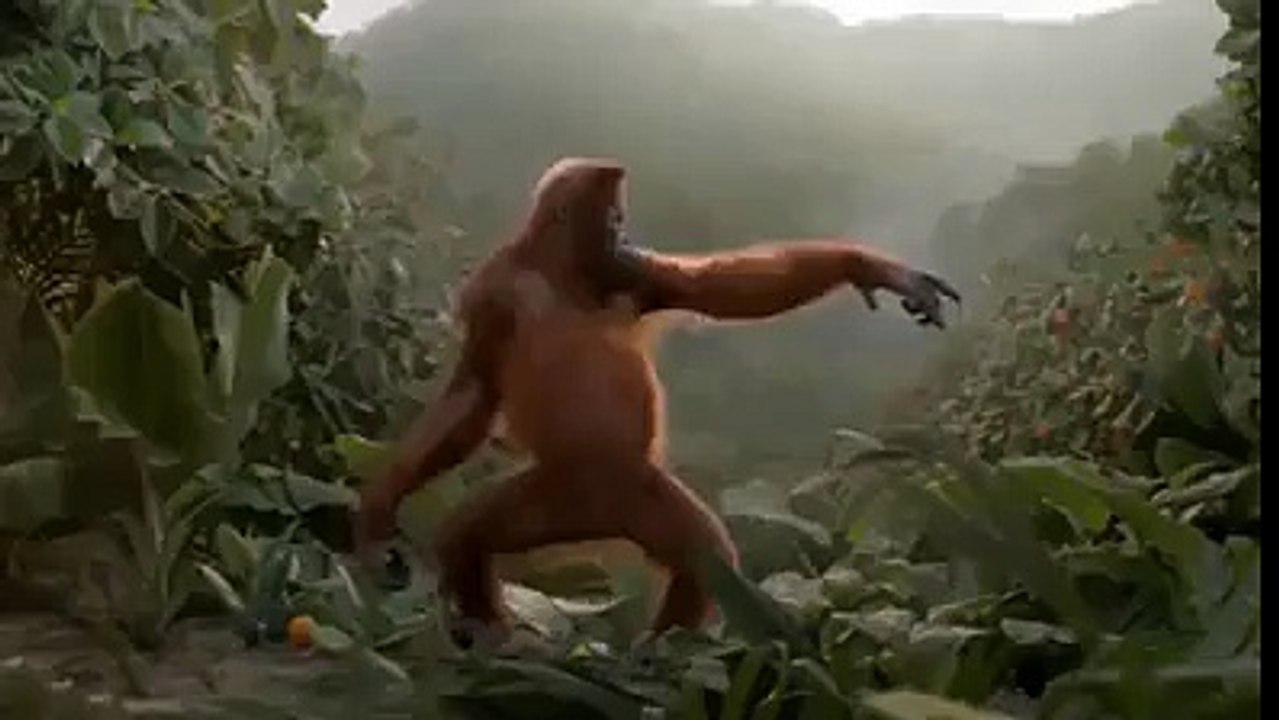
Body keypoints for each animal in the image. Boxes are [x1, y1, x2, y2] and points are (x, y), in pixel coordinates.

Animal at [353, 157, 960, 647]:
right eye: (615, 221)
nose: (625, 239)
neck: (562, 275)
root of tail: (595, 519)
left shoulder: (639, 276)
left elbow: (719, 289)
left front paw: (873, 268)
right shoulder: (494, 291)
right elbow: (474, 391)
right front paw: (380, 507)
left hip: (631, 492)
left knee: (704, 561)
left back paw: (659, 651)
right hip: (557, 493)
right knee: (467, 538)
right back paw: (492, 636)